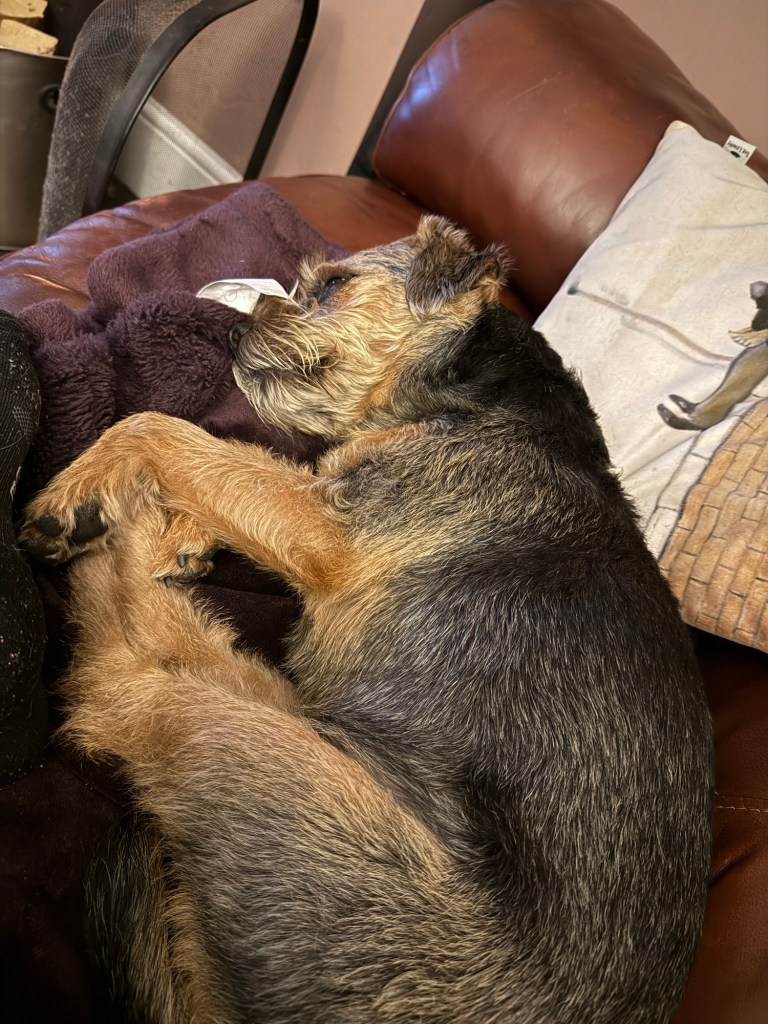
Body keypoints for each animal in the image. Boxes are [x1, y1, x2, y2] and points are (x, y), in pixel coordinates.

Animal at [20, 215, 713, 1023]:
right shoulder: (312, 502)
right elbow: (234, 464)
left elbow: (167, 431)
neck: (471, 394)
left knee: (113, 682)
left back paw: (106, 536)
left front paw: (78, 495)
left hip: (268, 762)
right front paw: (180, 532)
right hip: (310, 733)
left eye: (332, 286)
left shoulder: (331, 531)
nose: (233, 329)